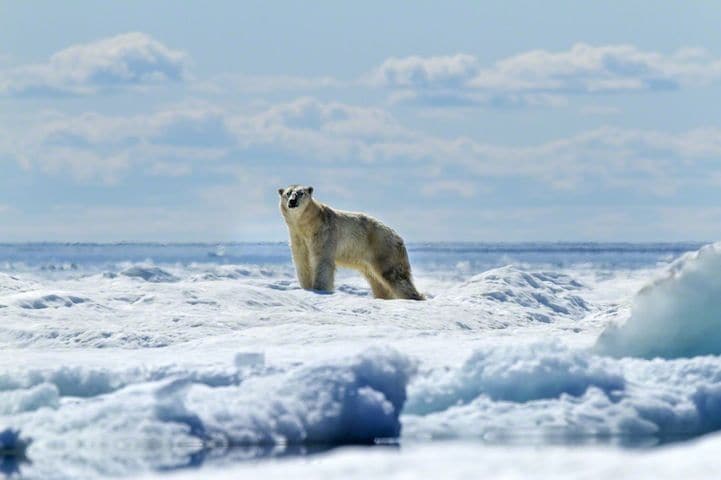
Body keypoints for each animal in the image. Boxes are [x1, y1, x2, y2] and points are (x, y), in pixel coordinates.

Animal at [278, 185, 424, 300]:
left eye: (301, 193)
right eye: (288, 193)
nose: (292, 201)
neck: (309, 224)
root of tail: (398, 237)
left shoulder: (324, 233)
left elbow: (322, 262)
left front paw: (320, 290)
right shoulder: (297, 237)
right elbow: (302, 262)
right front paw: (307, 289)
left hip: (383, 248)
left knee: (393, 275)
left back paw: (414, 297)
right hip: (368, 260)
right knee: (377, 281)